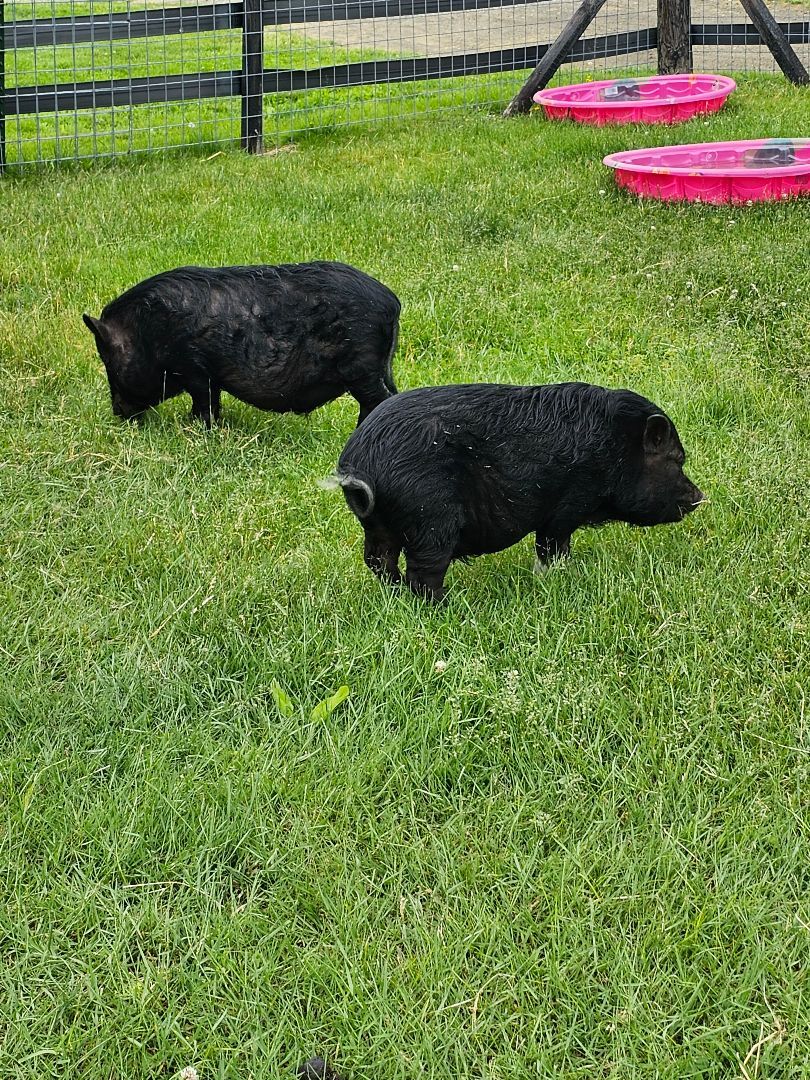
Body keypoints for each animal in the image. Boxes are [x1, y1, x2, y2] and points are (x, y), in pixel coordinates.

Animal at [82, 262, 400, 428]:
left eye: (109, 362)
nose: (117, 412)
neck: (147, 332)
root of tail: (392, 302)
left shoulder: (193, 367)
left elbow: (203, 400)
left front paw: (196, 427)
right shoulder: (208, 374)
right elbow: (213, 399)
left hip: (361, 365)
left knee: (377, 400)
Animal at [326, 382, 704, 602]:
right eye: (676, 459)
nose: (699, 496)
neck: (617, 448)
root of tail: (360, 463)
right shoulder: (568, 503)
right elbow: (552, 545)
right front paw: (560, 575)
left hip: (379, 526)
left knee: (378, 561)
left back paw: (396, 596)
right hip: (430, 517)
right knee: (423, 572)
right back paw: (447, 606)